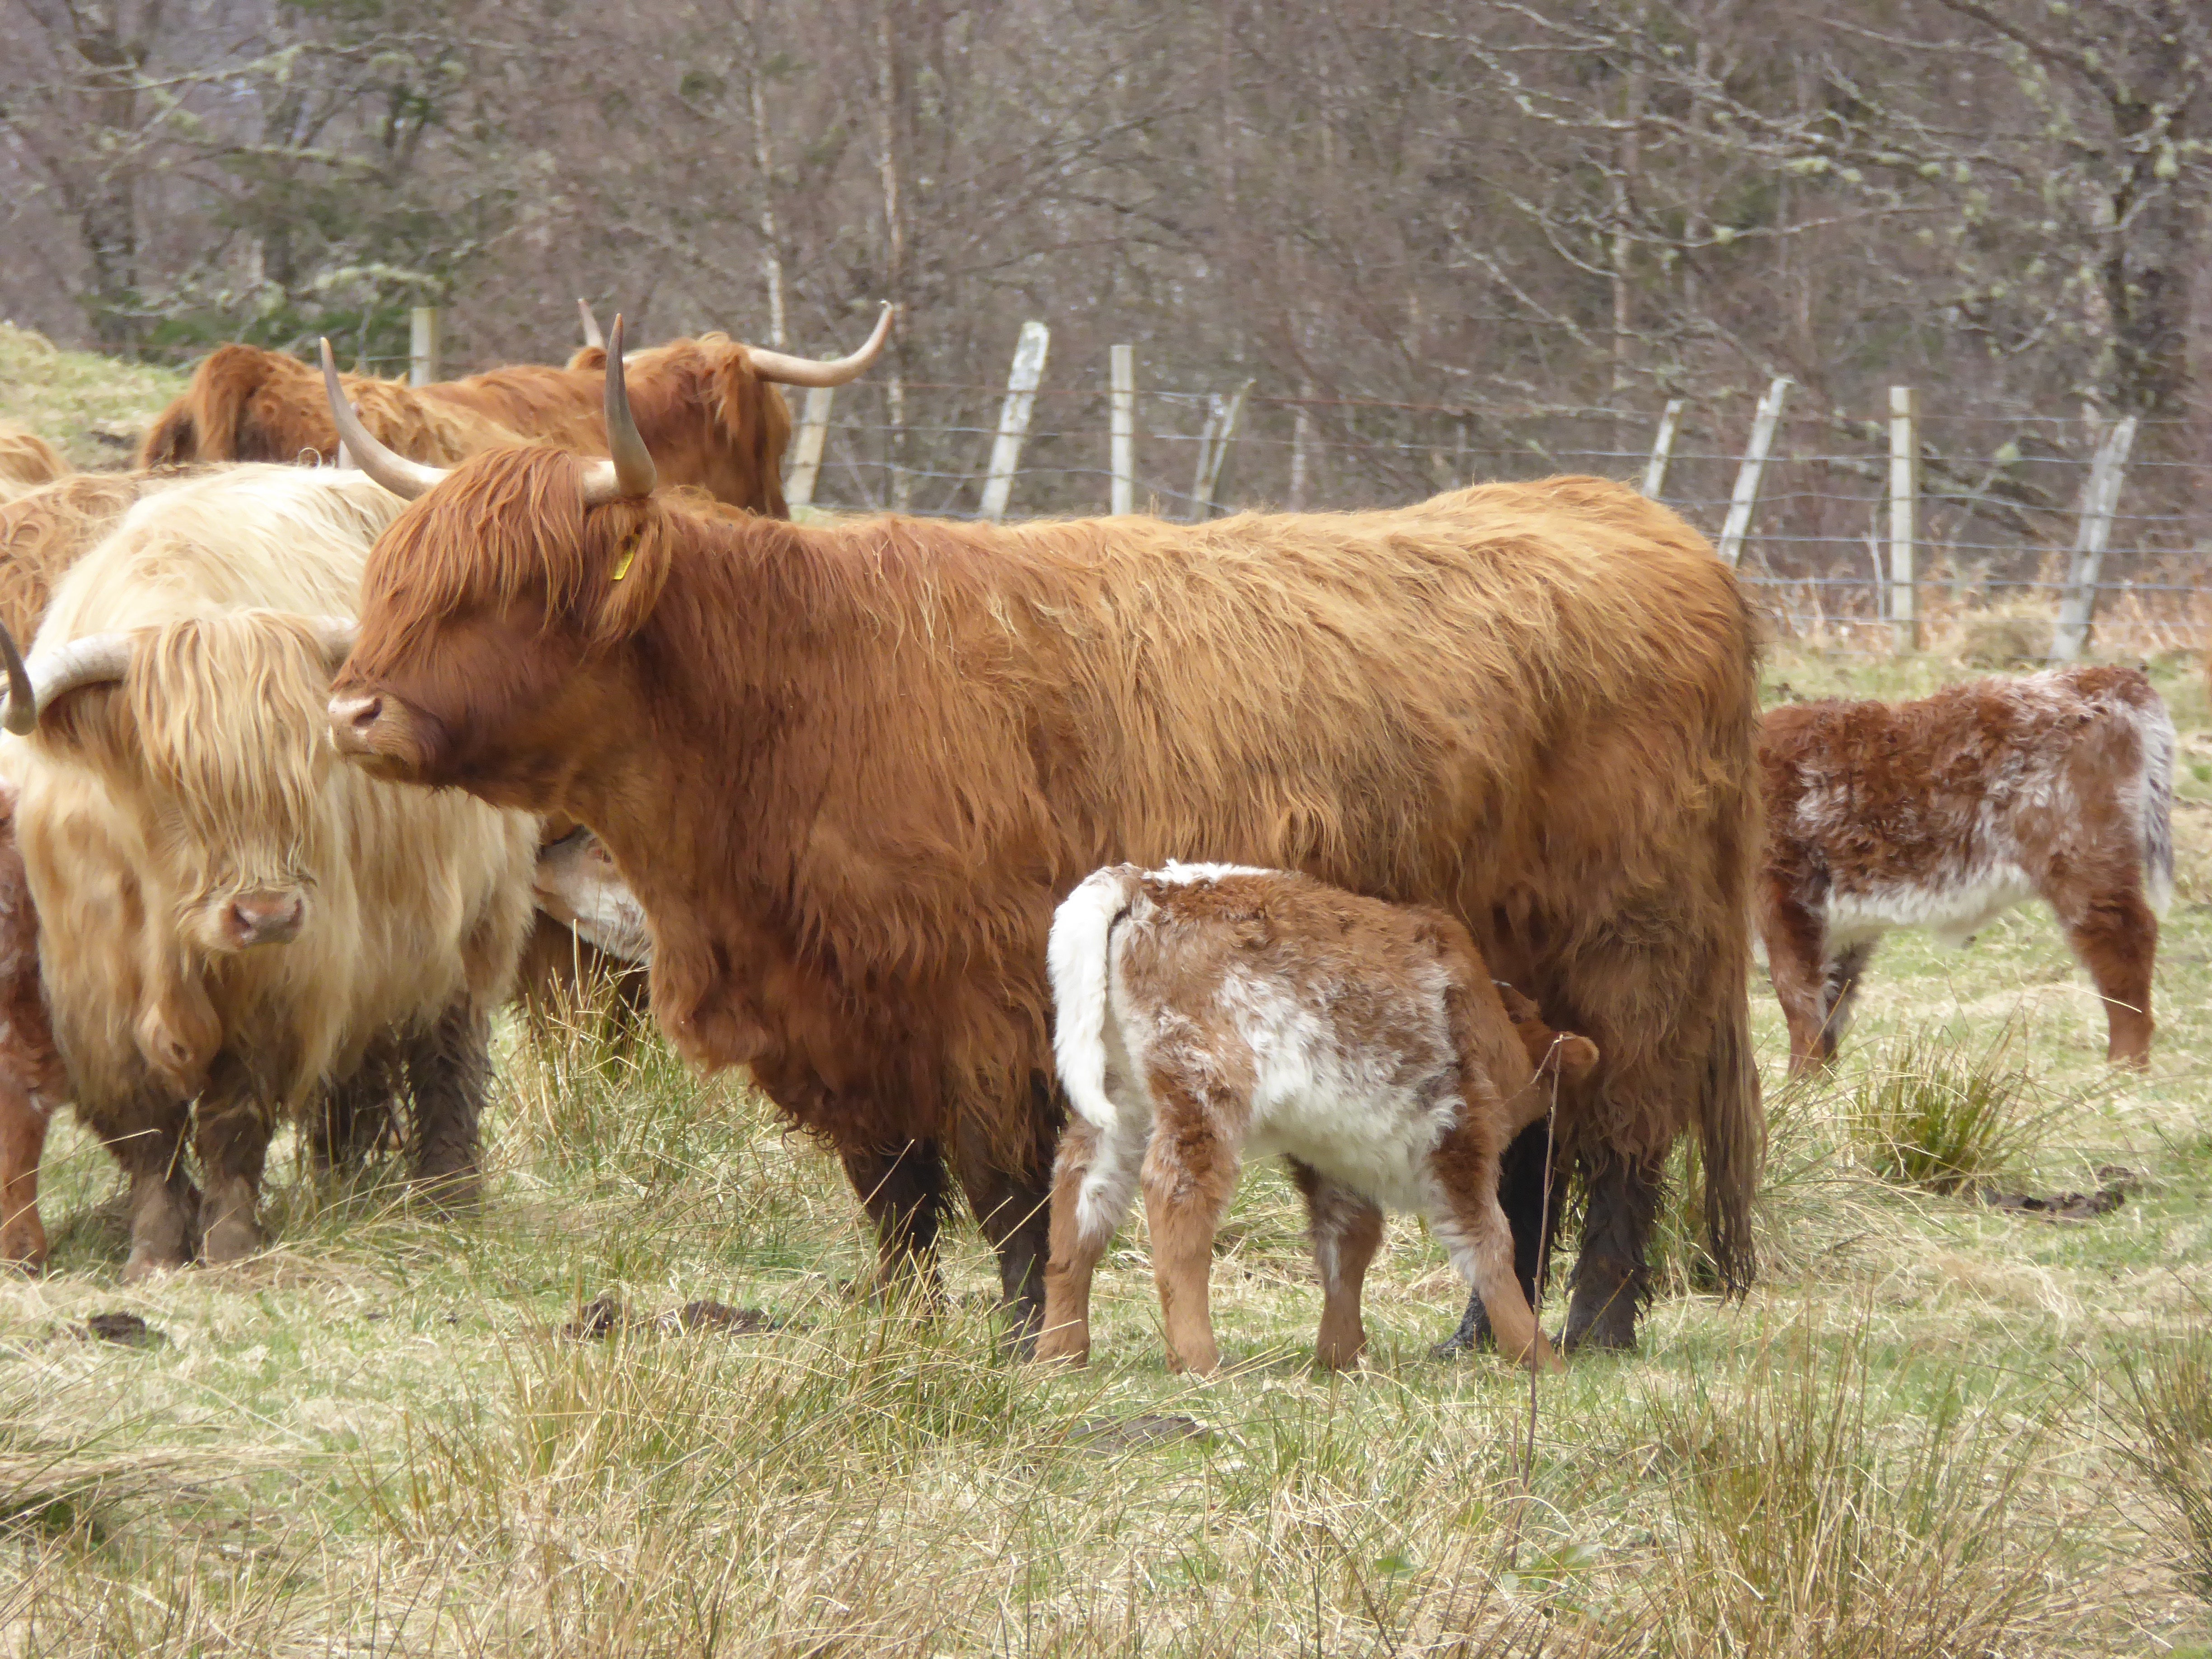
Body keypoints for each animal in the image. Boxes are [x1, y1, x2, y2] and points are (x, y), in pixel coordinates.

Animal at [1031, 872, 1593, 1380]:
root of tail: (1148, 885)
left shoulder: (1336, 1150)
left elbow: (1348, 1243)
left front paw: (1341, 1355)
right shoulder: (1457, 1132)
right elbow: (1489, 1243)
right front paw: (1539, 1359)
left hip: (1120, 1104)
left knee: (1081, 1198)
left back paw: (1059, 1354)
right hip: (1202, 1093)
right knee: (1178, 1199)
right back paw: (1197, 1362)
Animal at [1761, 668, 2176, 1079]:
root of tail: (2099, 676)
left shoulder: (1784, 895)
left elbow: (1796, 991)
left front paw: (1801, 1080)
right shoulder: (1844, 924)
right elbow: (1834, 996)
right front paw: (1825, 1078)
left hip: (2082, 860)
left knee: (2123, 939)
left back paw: (2125, 1065)